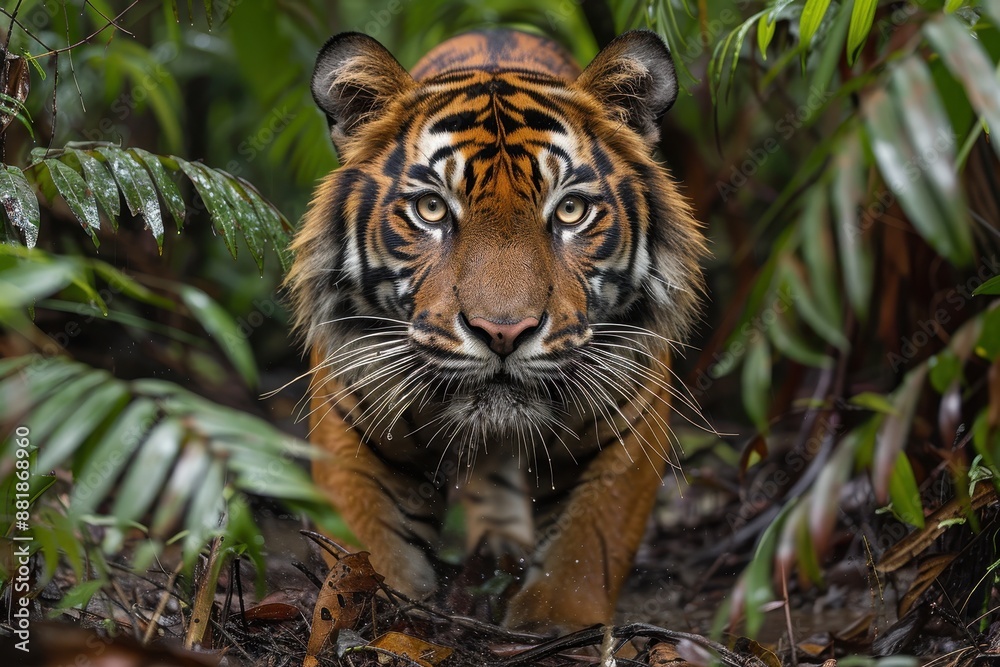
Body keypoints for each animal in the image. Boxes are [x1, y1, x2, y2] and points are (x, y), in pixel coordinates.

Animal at [284, 27, 707, 632]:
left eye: (571, 210)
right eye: (431, 209)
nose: (503, 332)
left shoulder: (630, 420)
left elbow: (585, 547)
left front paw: (552, 626)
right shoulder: (352, 424)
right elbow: (368, 549)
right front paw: (379, 615)